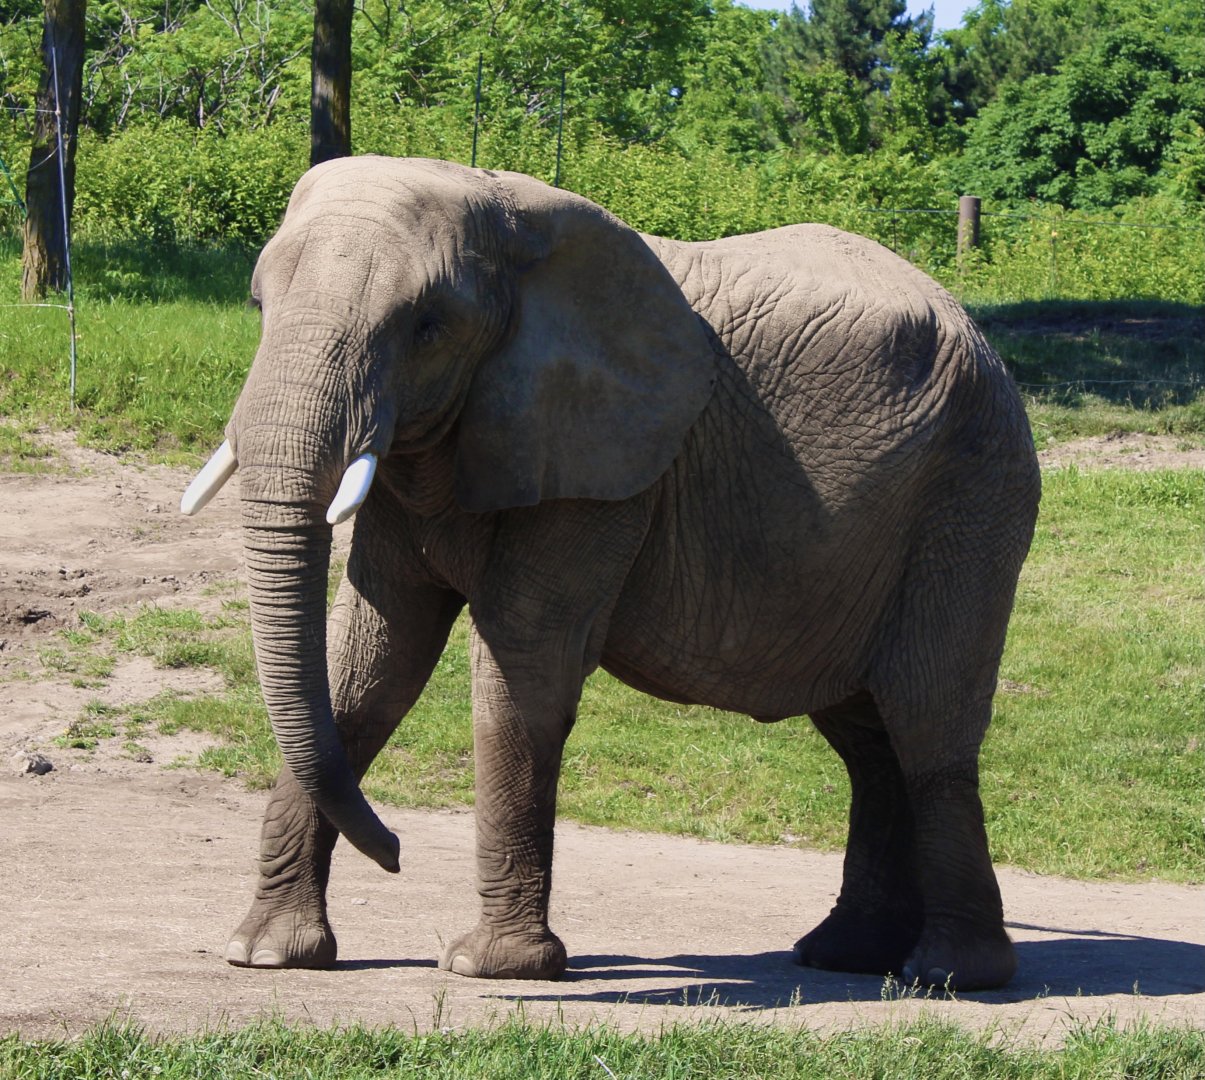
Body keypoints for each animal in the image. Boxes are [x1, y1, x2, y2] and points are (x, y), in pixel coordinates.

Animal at [181, 155, 1040, 991]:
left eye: (428, 328)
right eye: (258, 304)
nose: (394, 853)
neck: (506, 218)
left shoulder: (608, 467)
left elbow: (522, 660)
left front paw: (491, 968)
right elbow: (370, 662)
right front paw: (266, 954)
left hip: (970, 496)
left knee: (926, 724)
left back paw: (949, 974)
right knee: (867, 739)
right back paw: (846, 955)